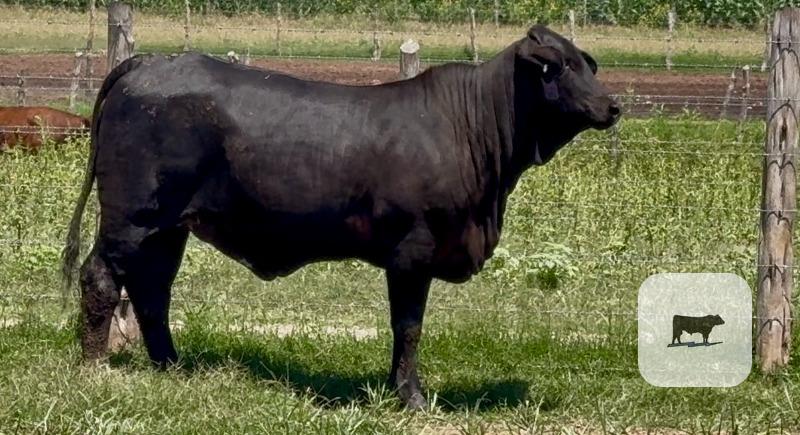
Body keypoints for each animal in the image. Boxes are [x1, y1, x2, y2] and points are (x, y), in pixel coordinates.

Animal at [62, 25, 620, 409]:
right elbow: (408, 326)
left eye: (588, 65)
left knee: (153, 289)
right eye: (559, 67)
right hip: (131, 218)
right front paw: (410, 396)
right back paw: (95, 367)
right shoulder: (412, 252)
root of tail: (150, 63)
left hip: (169, 227)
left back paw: (171, 367)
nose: (613, 106)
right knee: (100, 278)